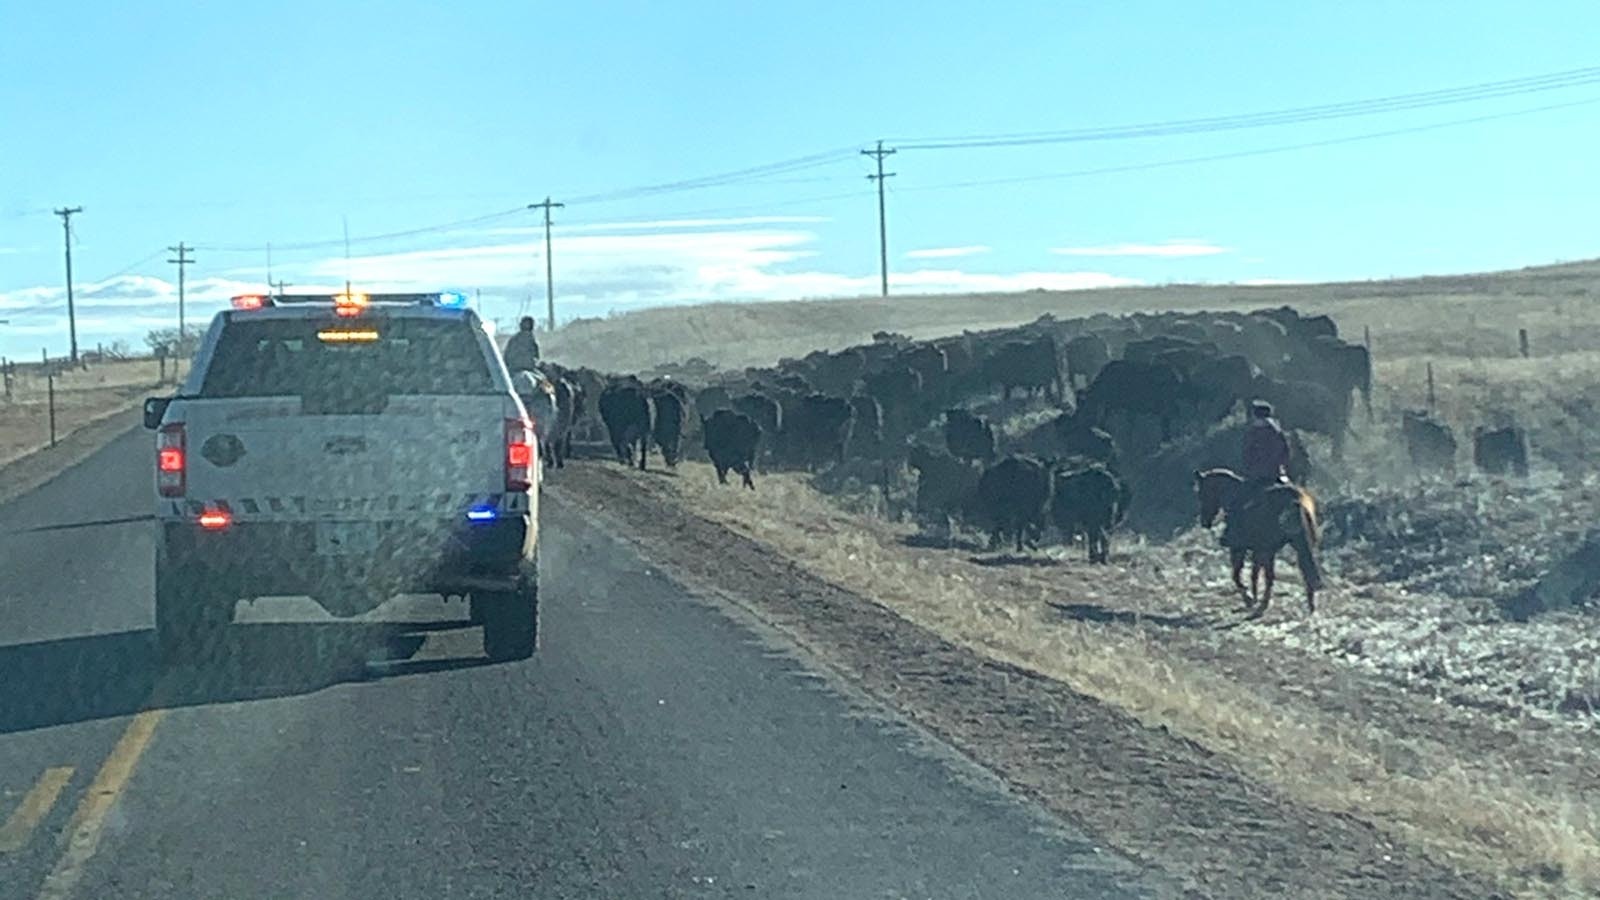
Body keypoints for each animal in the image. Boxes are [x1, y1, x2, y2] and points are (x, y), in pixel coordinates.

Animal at [1196, 464, 1318, 611]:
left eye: (1203, 494)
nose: (1204, 522)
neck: (1235, 496)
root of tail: (1295, 500)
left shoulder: (1240, 548)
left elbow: (1237, 575)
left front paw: (1249, 599)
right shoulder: (1260, 550)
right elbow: (1255, 573)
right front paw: (1253, 597)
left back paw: (1264, 603)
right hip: (1299, 544)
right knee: (1306, 569)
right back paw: (1310, 604)